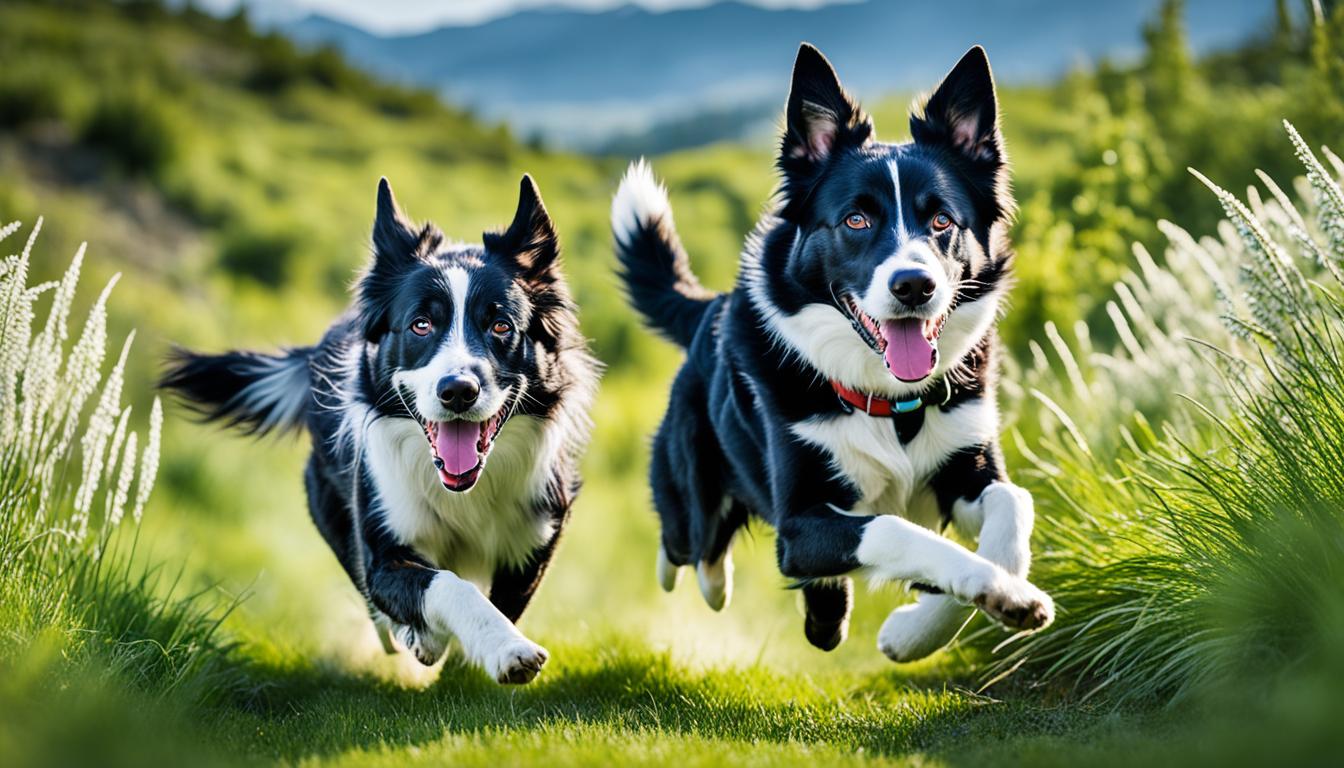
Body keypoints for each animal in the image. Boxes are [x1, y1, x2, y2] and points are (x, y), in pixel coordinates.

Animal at [161, 176, 594, 685]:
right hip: (330, 504)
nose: (458, 391)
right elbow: (445, 586)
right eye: (421, 324)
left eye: (501, 325)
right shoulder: (382, 547)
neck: (464, 491)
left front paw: (484, 657)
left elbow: (502, 600)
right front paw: (502, 649)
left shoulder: (535, 537)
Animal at [615, 45, 1053, 664]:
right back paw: (715, 580)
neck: (893, 403)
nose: (914, 286)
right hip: (690, 497)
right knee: (688, 545)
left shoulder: (966, 469)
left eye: (942, 220)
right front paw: (966, 601)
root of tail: (709, 310)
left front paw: (943, 617)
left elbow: (1013, 504)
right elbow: (892, 528)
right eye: (856, 219)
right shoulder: (802, 524)